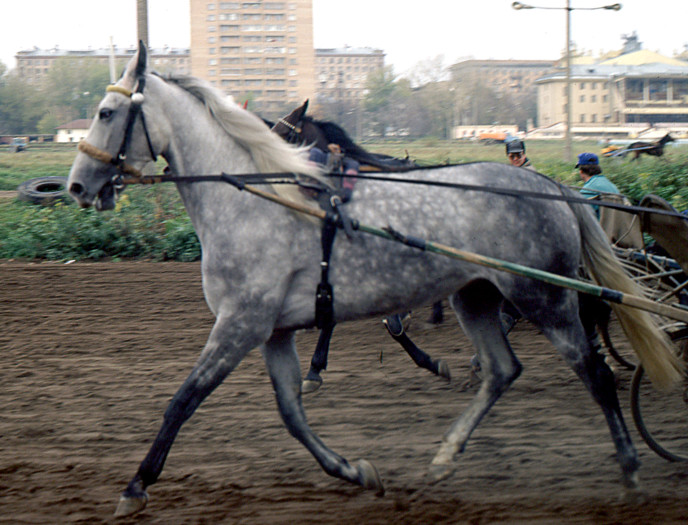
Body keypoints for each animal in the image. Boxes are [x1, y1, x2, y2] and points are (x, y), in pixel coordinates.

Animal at [67, 42, 680, 516]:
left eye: (105, 112)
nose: (75, 186)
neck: (258, 198)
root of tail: (553, 188)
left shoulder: (241, 323)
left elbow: (183, 399)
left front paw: (136, 485)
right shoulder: (273, 330)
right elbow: (291, 412)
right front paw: (356, 470)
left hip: (544, 295)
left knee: (595, 373)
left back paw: (630, 470)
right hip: (477, 296)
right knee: (503, 370)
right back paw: (444, 456)